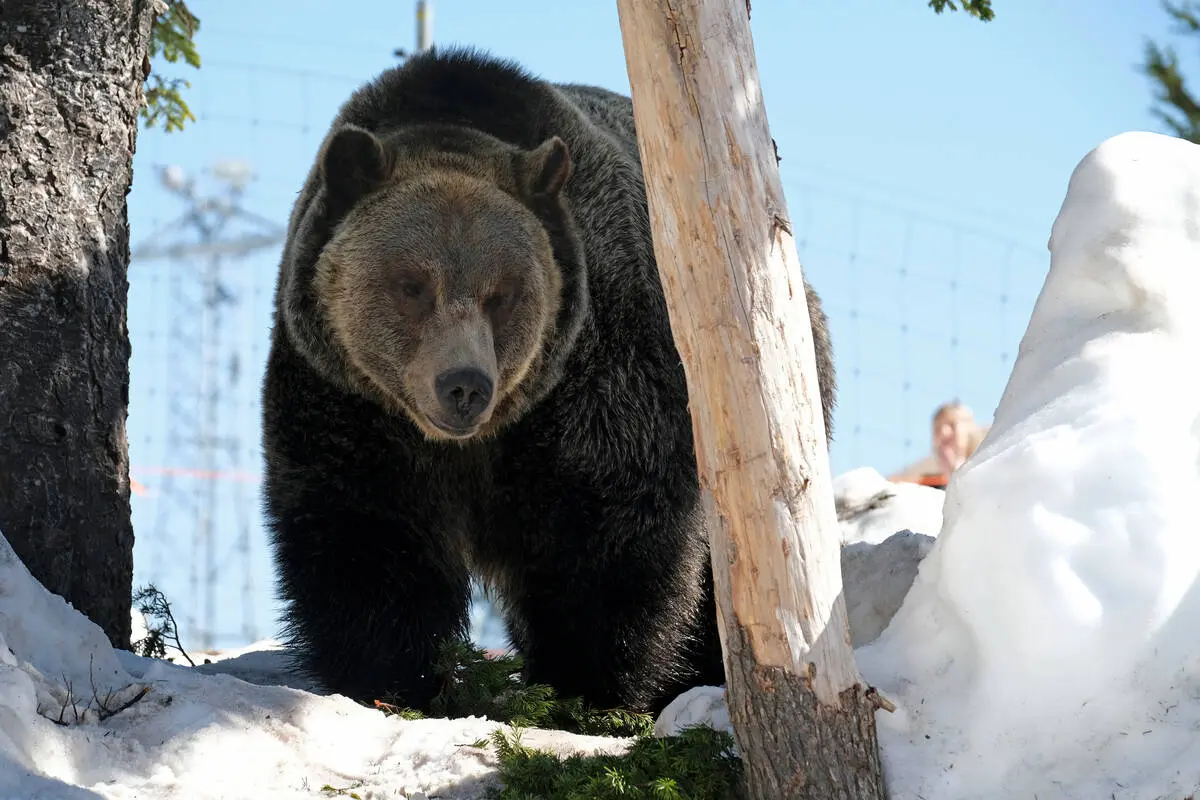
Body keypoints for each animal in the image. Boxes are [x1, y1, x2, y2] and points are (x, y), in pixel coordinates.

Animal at [261, 46, 837, 716]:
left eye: (502, 293)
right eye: (411, 285)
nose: (464, 385)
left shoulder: (599, 370)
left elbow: (611, 526)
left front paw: (586, 682)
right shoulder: (346, 397)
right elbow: (365, 531)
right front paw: (389, 679)